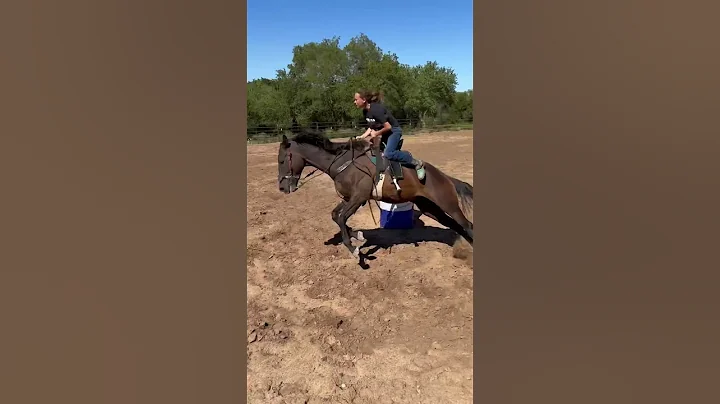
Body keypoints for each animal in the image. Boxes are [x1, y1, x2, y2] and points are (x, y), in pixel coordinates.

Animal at [276, 129, 473, 261]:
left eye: (282, 160)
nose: (282, 188)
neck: (344, 164)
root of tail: (445, 177)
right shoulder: (349, 198)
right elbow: (336, 216)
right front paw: (357, 235)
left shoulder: (359, 198)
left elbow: (341, 217)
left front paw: (354, 249)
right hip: (429, 207)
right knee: (455, 225)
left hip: (448, 204)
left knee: (467, 224)